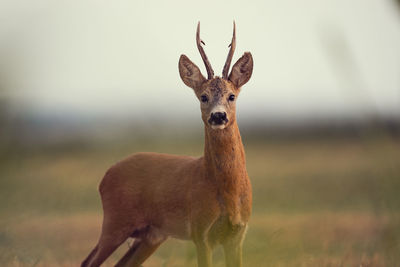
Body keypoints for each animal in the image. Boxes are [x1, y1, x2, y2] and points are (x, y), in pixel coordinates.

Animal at [81, 22, 253, 267]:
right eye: (203, 96)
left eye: (232, 96)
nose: (218, 116)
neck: (227, 191)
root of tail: (106, 176)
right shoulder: (200, 232)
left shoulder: (238, 234)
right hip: (115, 223)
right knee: (88, 262)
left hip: (151, 235)